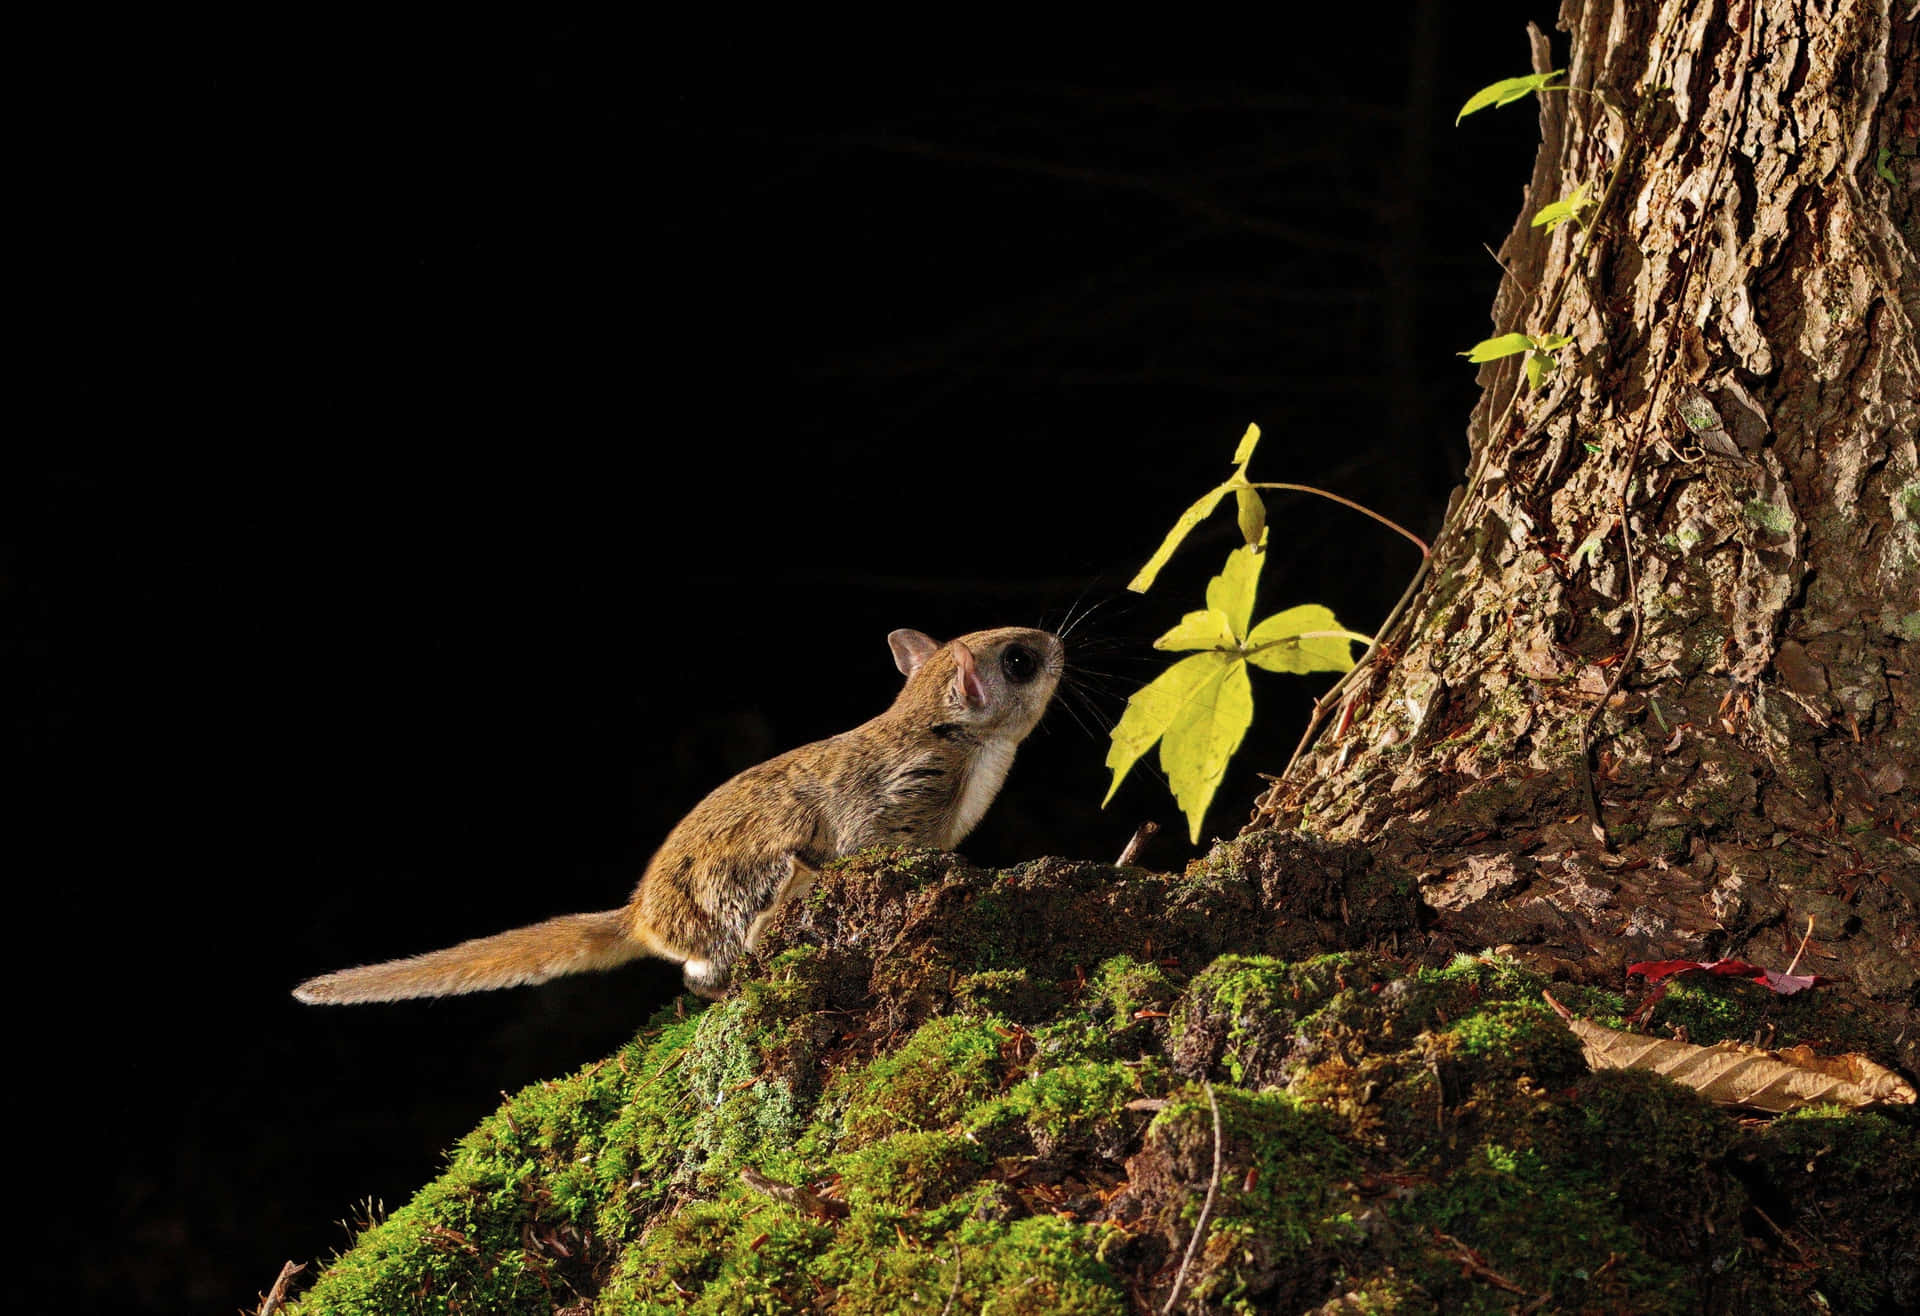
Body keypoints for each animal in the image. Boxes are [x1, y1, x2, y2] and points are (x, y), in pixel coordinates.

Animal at [295, 626, 1067, 1006]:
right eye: (1020, 660)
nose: (1061, 643)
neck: (962, 741)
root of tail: (639, 916)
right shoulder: (893, 802)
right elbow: (883, 845)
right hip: (765, 867)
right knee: (712, 963)